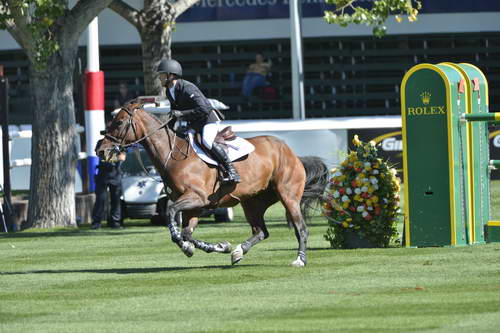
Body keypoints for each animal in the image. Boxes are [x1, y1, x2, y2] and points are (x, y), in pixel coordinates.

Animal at [95, 102, 330, 266]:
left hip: (288, 196)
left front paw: (189, 246)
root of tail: (293, 154)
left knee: (301, 228)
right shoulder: (193, 206)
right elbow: (187, 233)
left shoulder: (195, 198)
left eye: (119, 122)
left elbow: (171, 216)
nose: (100, 150)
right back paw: (238, 251)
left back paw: (300, 260)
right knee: (261, 231)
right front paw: (216, 246)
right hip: (252, 202)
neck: (173, 156)